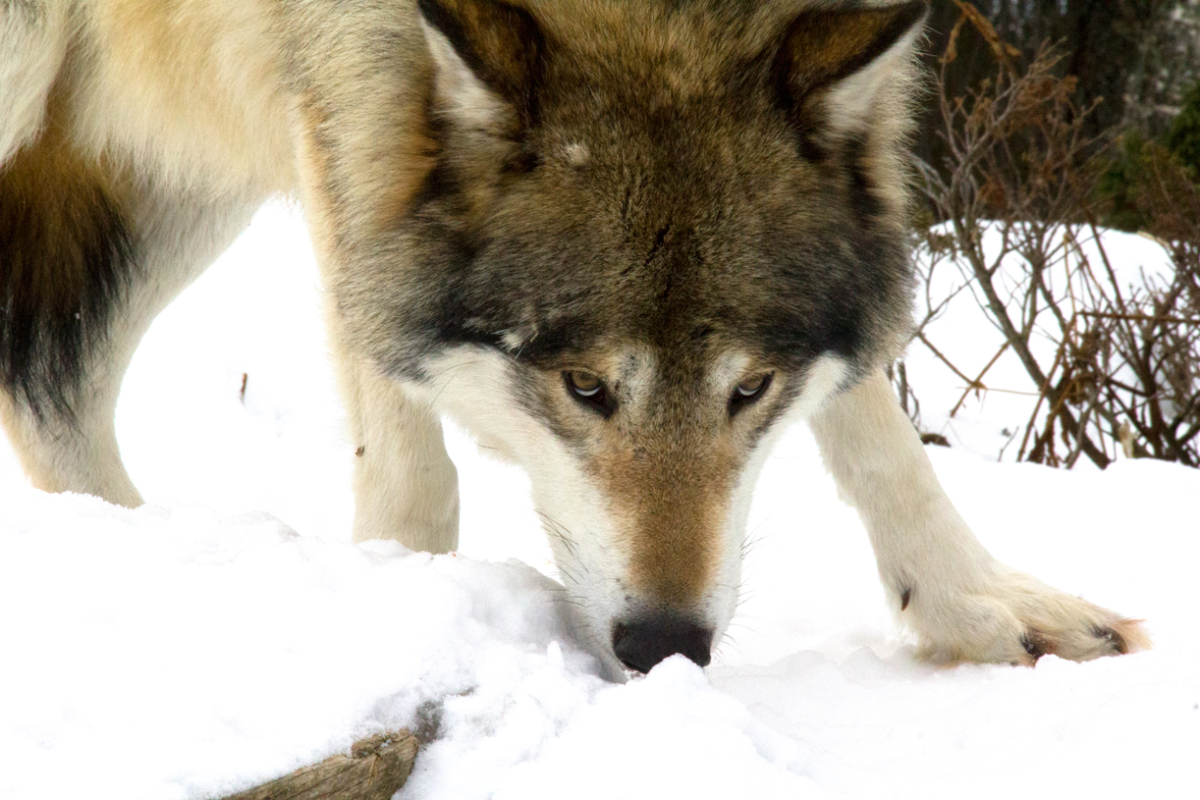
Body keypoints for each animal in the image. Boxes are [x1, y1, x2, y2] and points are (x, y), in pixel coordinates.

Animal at [1, 0, 1146, 675]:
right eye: (585, 387)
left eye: (751, 388)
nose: (667, 646)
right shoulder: (346, 95)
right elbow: (409, 455)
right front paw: (411, 621)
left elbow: (881, 430)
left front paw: (979, 604)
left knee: (44, 386)